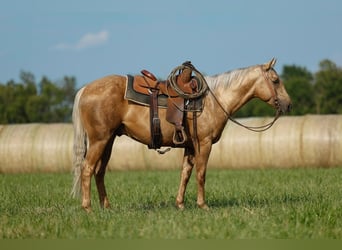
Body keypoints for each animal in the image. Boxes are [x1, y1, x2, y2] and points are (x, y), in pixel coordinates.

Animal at [71, 58, 292, 211]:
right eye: (275, 80)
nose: (288, 104)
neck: (214, 100)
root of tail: (85, 88)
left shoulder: (190, 146)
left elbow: (185, 173)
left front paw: (180, 204)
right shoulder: (204, 143)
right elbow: (201, 173)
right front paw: (203, 205)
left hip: (108, 141)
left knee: (99, 172)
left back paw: (106, 207)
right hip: (99, 140)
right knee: (87, 169)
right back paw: (88, 207)